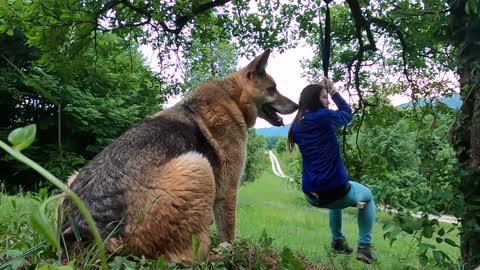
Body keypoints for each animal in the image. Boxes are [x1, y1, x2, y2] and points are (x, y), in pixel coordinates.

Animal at [62, 49, 298, 264]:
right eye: (273, 89)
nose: (297, 106)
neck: (232, 97)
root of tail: (89, 237)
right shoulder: (228, 190)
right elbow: (228, 232)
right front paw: (232, 250)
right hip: (198, 166)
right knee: (189, 257)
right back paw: (219, 254)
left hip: (70, 179)